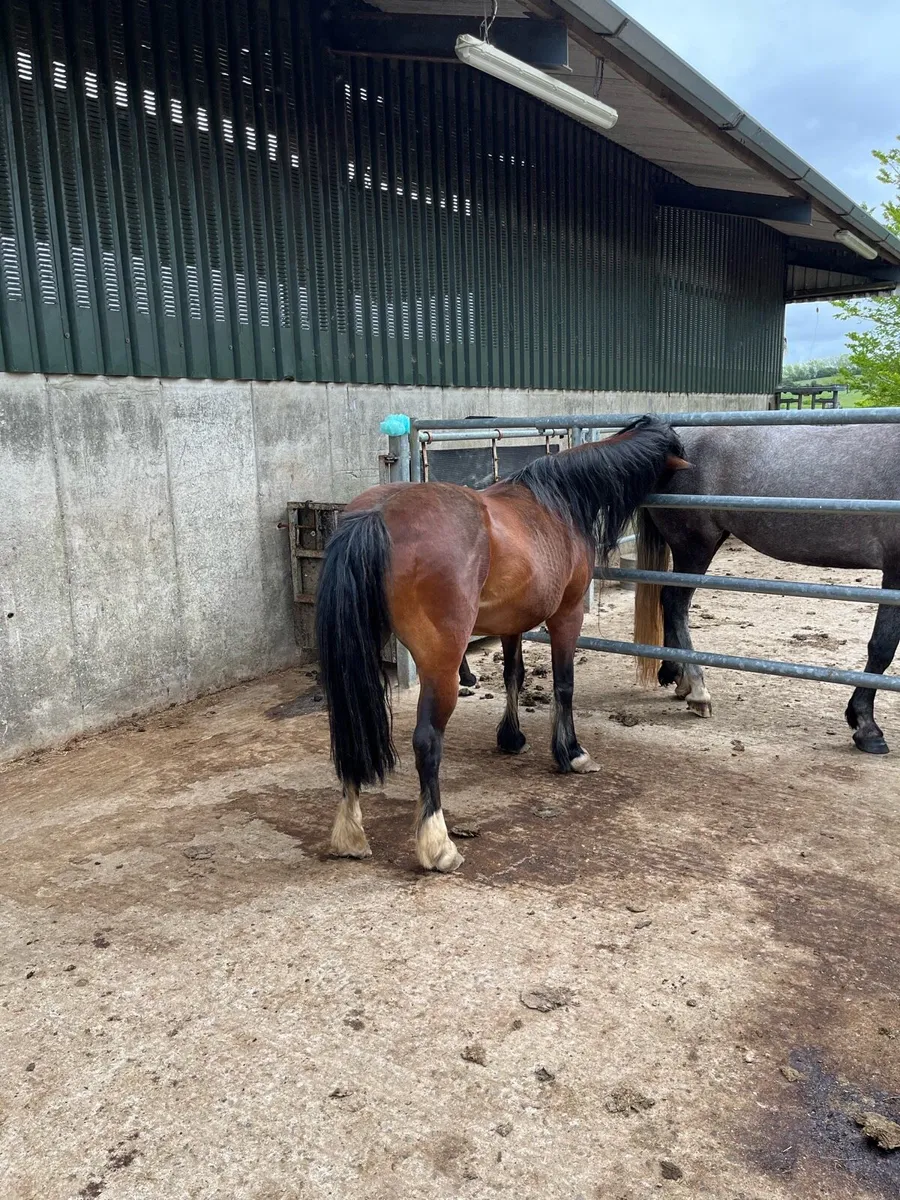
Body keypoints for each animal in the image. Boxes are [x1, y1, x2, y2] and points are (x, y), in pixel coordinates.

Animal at [315, 416, 687, 872]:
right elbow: (564, 685)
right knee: (427, 741)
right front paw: (572, 753)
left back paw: (349, 835)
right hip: (442, 665)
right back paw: (438, 846)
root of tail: (377, 514)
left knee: (350, 724)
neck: (560, 502)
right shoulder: (567, 616)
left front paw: (511, 738)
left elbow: (515, 675)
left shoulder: (512, 625)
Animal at [633, 423, 900, 754]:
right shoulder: (895, 570)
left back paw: (679, 678)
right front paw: (866, 726)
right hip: (694, 546)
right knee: (675, 603)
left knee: (672, 602)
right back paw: (698, 691)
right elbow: (883, 646)